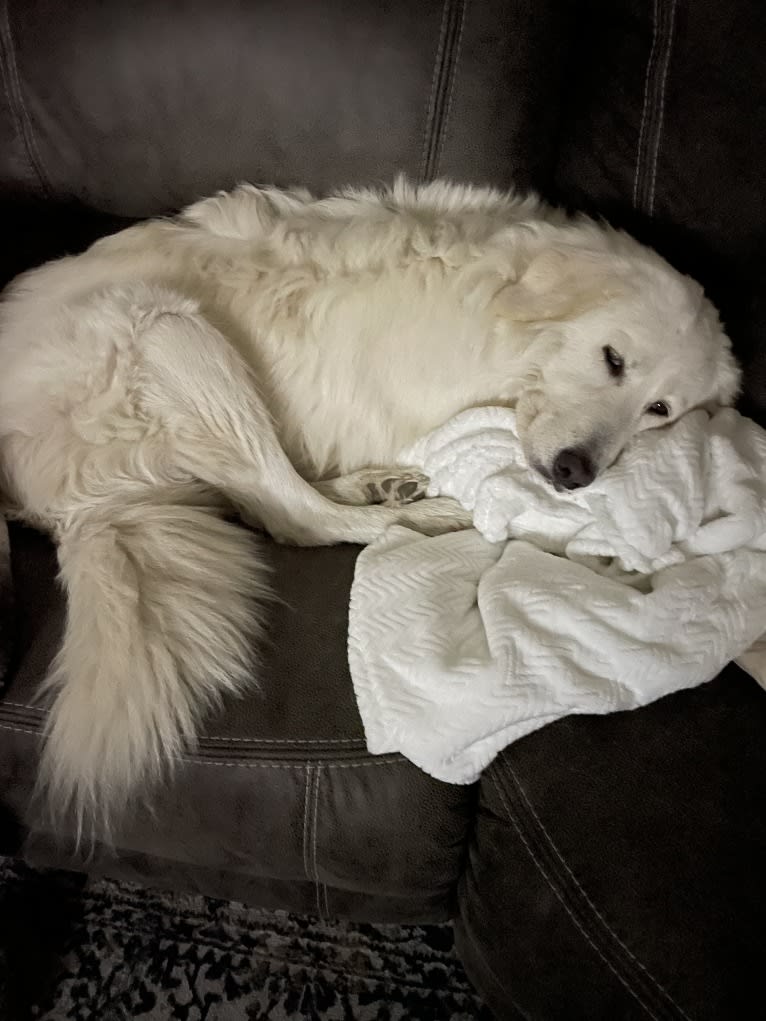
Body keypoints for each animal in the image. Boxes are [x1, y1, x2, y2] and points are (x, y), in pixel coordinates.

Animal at [0, 181, 743, 837]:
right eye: (613, 359)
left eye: (660, 410)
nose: (574, 474)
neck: (503, 309)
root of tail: (69, 511)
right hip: (174, 334)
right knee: (293, 513)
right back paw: (428, 512)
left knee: (277, 500)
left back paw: (380, 486)